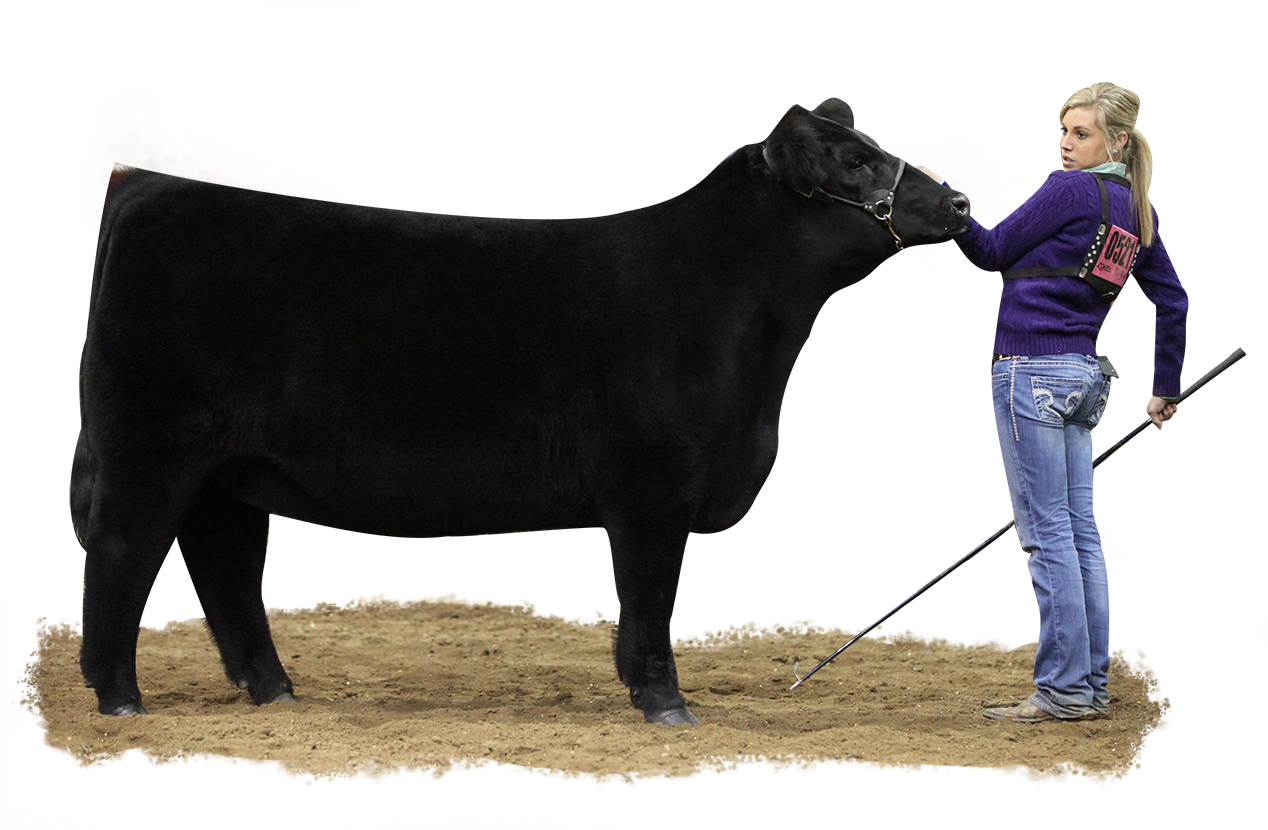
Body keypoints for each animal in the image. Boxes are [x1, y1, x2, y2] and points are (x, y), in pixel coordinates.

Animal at [72, 98, 971, 725]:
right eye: (852, 164)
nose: (961, 208)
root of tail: (147, 191)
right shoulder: (653, 483)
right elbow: (651, 597)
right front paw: (664, 702)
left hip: (227, 469)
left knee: (224, 569)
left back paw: (275, 692)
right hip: (149, 448)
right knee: (122, 555)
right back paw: (120, 699)